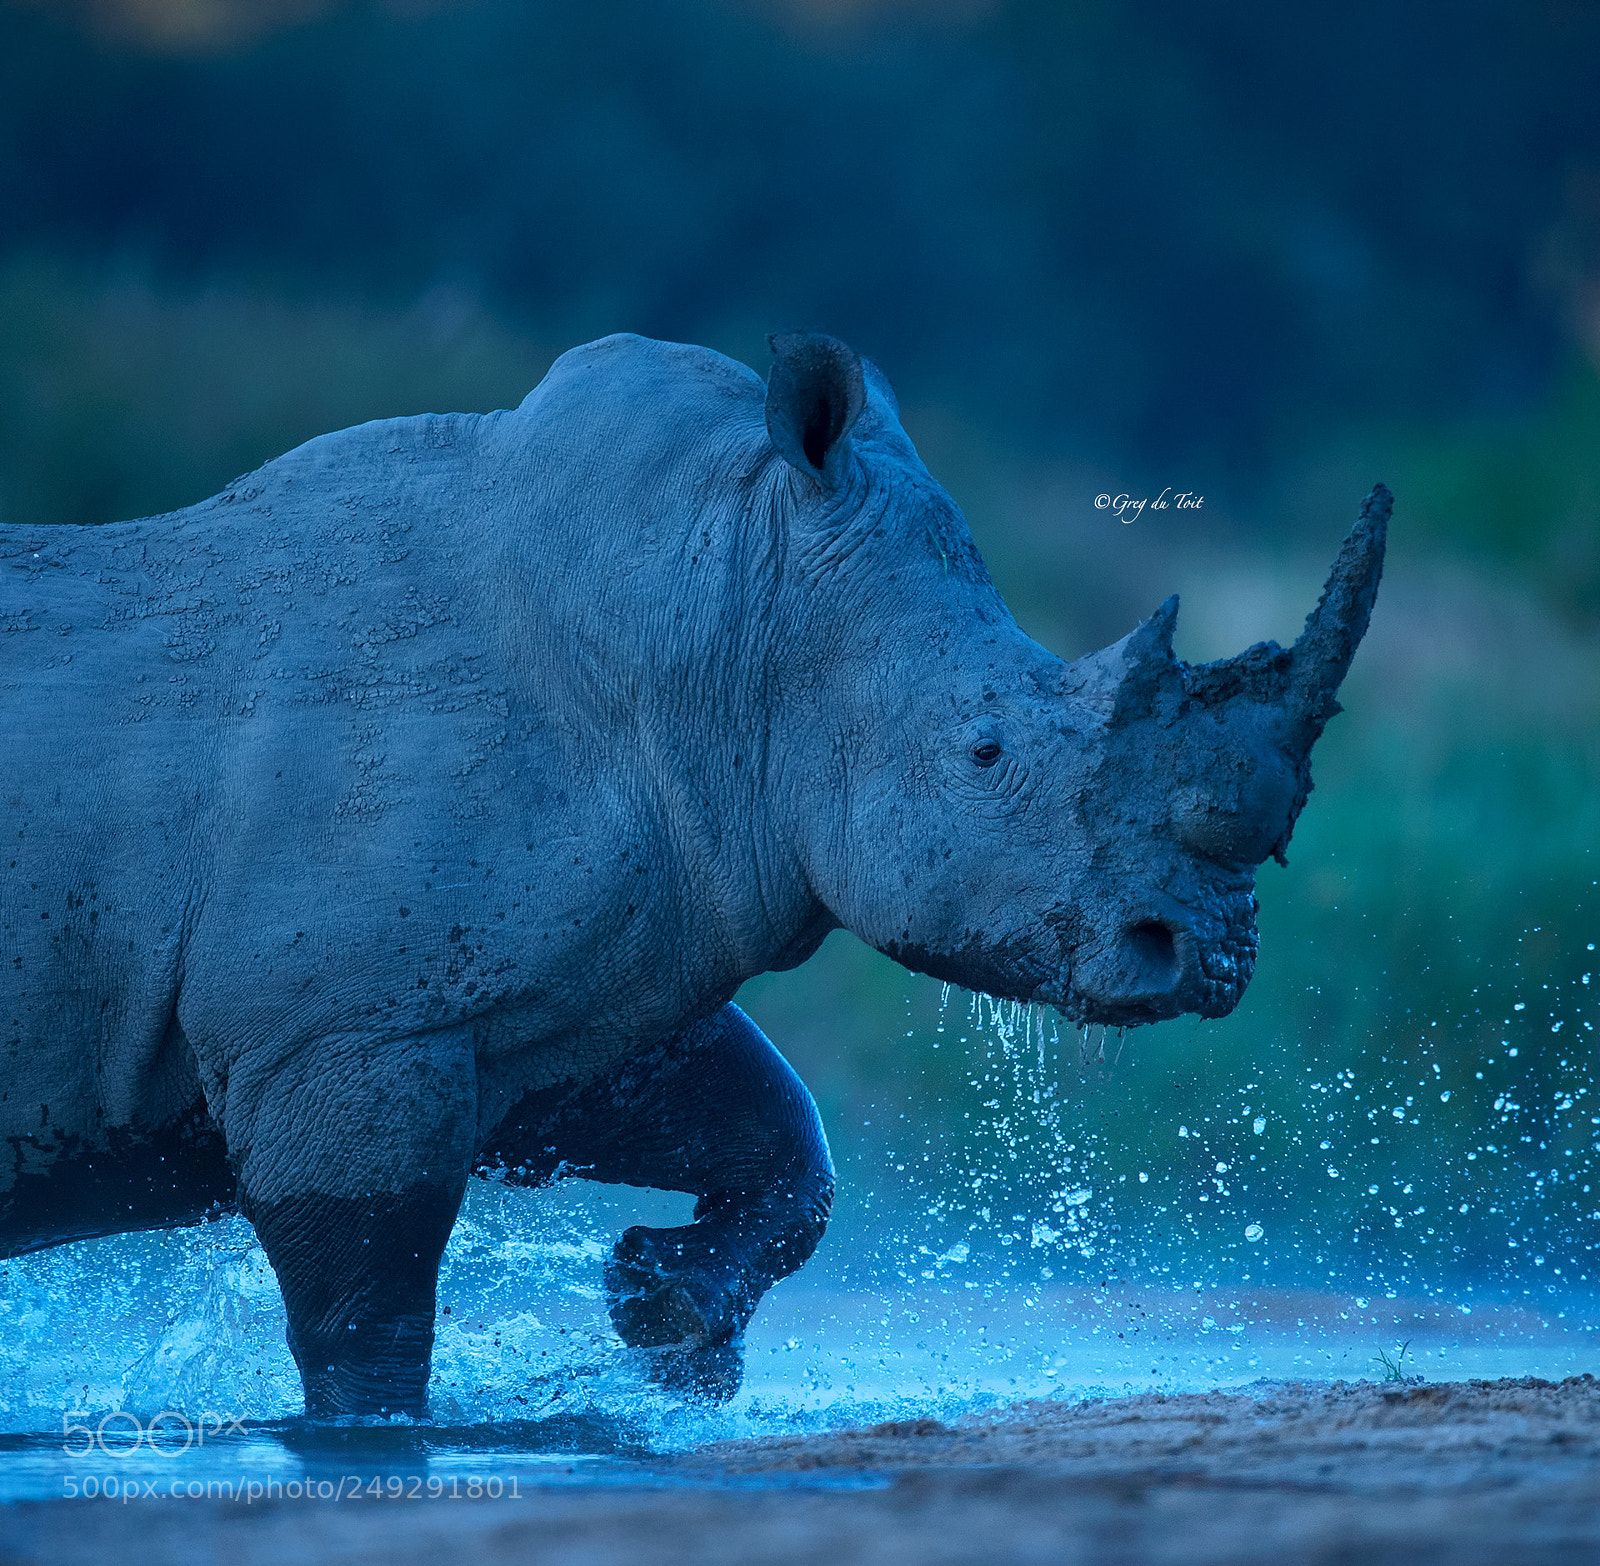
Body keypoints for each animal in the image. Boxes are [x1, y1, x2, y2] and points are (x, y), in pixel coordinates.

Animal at [0, 331, 1386, 1417]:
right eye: (986, 753)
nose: (1209, 954)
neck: (722, 615)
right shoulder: (347, 1034)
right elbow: (366, 1321)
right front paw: (385, 1435)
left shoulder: (577, 972)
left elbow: (778, 1136)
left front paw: (665, 1319)